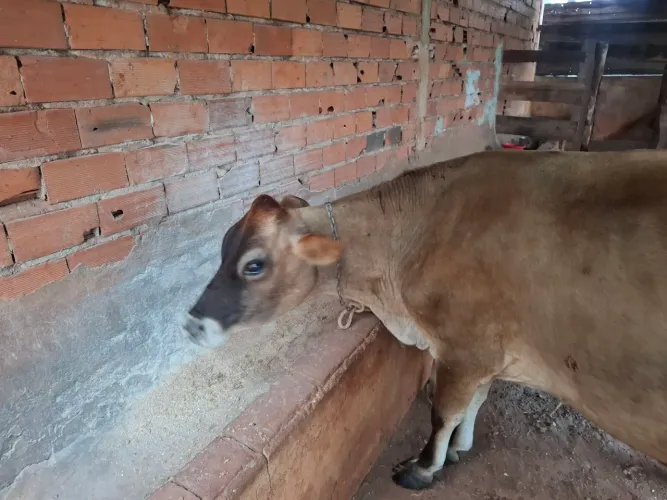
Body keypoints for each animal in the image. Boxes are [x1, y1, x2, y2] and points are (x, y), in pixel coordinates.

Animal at [183, 150, 667, 490]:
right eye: (223, 247)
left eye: (254, 265)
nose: (192, 323)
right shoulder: (485, 356)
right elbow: (475, 402)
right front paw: (461, 448)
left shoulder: (464, 348)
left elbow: (444, 413)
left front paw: (423, 467)